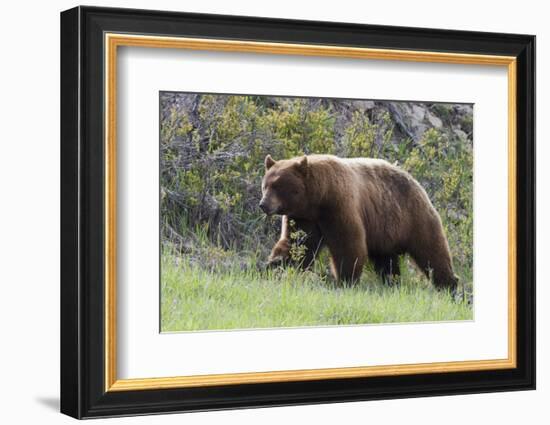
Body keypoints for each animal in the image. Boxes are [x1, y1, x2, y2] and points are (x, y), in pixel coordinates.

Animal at [260, 154, 460, 290]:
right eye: (265, 185)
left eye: (277, 186)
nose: (263, 204)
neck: (317, 198)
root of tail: (416, 182)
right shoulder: (304, 218)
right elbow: (297, 244)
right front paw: (273, 264)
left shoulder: (339, 206)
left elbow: (348, 244)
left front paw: (345, 280)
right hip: (384, 230)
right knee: (387, 261)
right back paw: (392, 282)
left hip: (414, 217)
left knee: (432, 251)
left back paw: (449, 285)